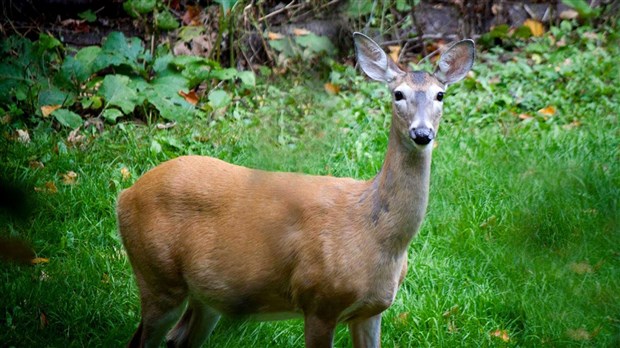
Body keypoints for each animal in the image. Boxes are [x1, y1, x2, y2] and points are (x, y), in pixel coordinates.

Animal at [117, 31, 474, 346]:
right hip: (158, 277)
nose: (422, 133)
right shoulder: (318, 300)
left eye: (440, 95)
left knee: (178, 339)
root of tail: (125, 195)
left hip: (206, 296)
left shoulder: (371, 311)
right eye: (398, 94)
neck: (376, 237)